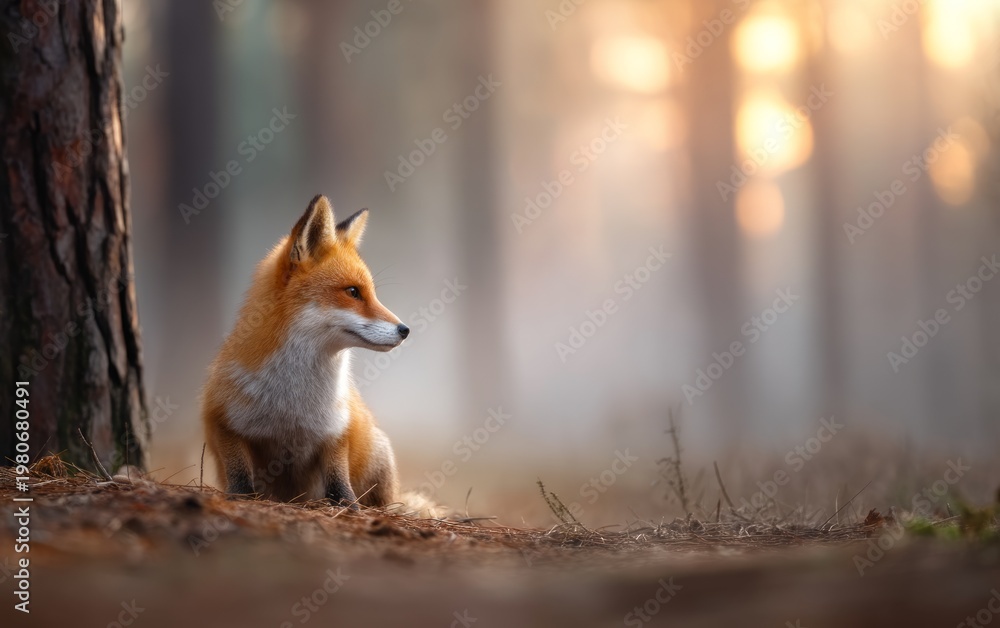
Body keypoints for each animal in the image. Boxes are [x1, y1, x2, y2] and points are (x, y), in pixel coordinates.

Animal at [201, 194, 408, 507]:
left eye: (372, 293)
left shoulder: (336, 431)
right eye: (353, 292)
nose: (405, 330)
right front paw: (241, 498)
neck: (294, 400)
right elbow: (239, 476)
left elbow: (339, 482)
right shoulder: (223, 422)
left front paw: (349, 508)